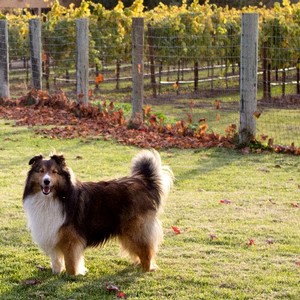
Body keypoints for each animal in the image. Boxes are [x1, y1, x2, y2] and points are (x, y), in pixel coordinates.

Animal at [22, 150, 173, 276]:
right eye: (41, 171)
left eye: (54, 172)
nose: (46, 181)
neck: (55, 197)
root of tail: (144, 181)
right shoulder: (53, 234)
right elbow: (56, 260)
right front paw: (57, 273)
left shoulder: (70, 239)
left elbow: (70, 261)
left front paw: (71, 276)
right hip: (127, 232)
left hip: (135, 230)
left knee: (146, 251)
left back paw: (146, 270)